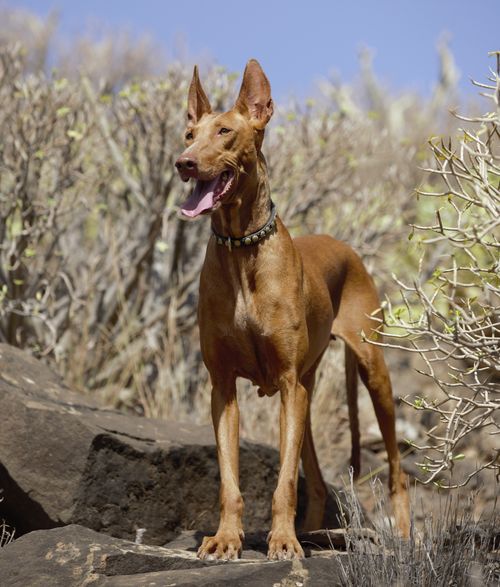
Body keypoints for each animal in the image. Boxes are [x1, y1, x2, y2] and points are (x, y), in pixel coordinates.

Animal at [176, 58, 410, 560]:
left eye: (225, 131)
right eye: (189, 133)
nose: (183, 162)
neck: (242, 249)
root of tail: (347, 247)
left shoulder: (286, 383)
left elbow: (283, 483)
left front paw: (282, 540)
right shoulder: (223, 388)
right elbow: (230, 481)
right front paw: (226, 538)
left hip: (371, 373)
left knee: (397, 469)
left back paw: (402, 537)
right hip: (306, 388)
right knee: (317, 482)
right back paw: (315, 533)